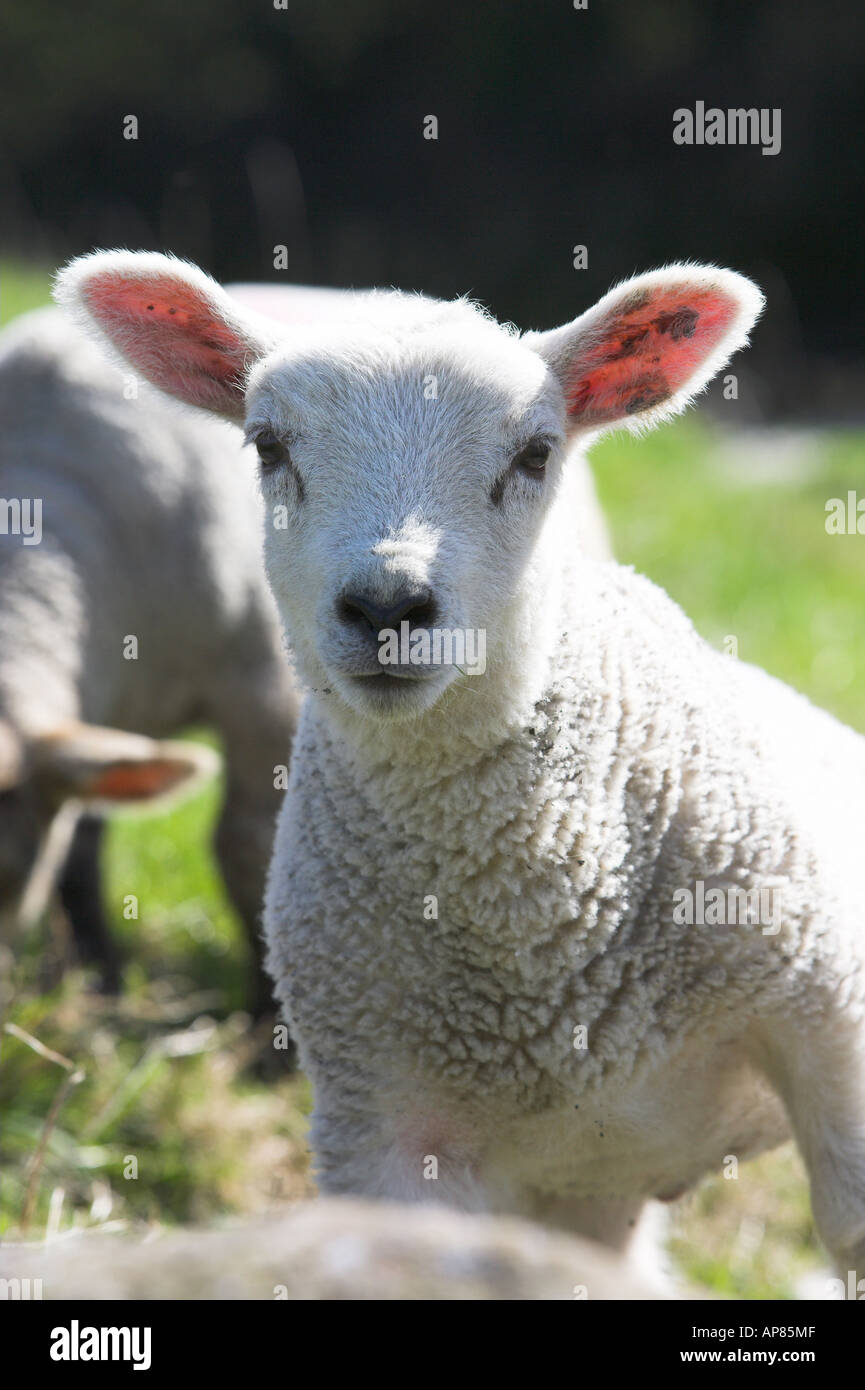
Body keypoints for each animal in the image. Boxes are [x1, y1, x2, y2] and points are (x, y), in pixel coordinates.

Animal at [54, 252, 865, 1278]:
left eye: (535, 455)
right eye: (267, 446)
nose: (386, 605)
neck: (533, 935)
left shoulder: (827, 1014)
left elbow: (849, 1224)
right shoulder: (378, 1116)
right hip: (579, 1190)